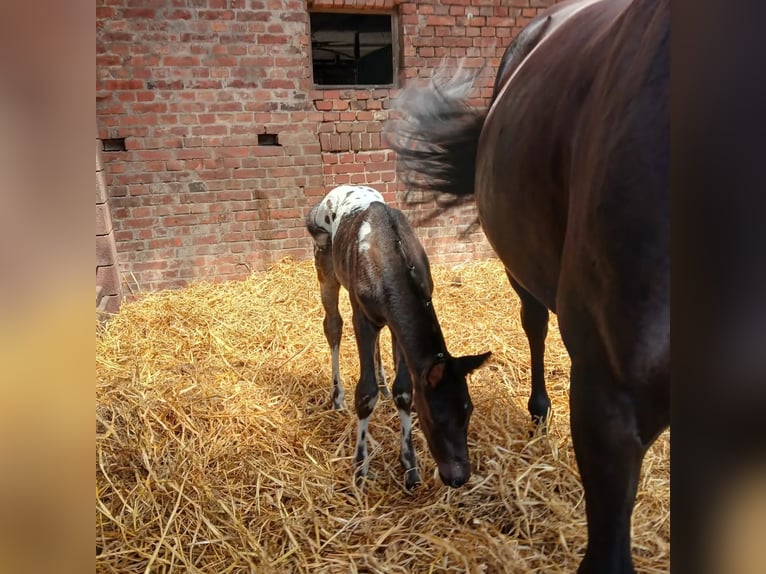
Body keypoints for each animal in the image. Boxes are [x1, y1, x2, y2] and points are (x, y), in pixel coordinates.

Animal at [306, 187, 492, 492]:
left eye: (468, 411)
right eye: (436, 418)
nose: (458, 477)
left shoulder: (397, 324)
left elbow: (404, 390)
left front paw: (410, 467)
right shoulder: (362, 315)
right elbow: (365, 393)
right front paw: (360, 469)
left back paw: (382, 386)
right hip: (325, 266)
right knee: (332, 326)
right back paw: (337, 399)